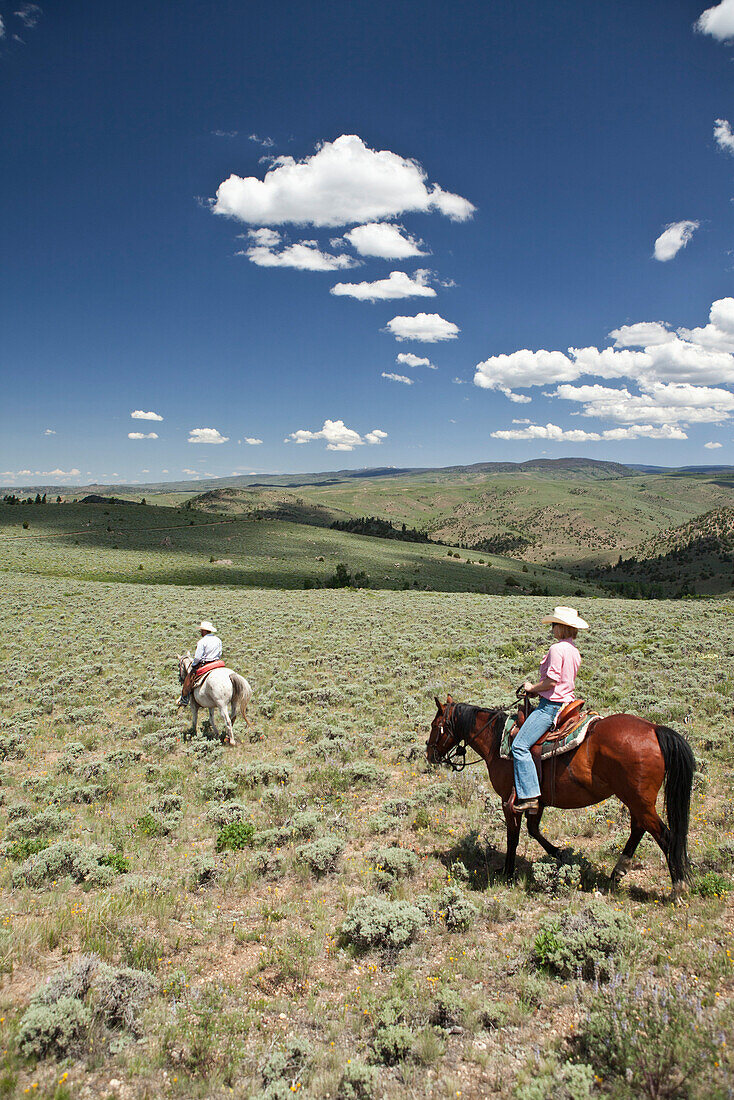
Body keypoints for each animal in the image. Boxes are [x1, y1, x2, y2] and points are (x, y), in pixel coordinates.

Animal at [424, 699, 695, 897]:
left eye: (434, 725)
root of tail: (654, 729)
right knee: (639, 828)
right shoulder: (538, 801)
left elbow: (513, 837)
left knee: (666, 836)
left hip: (639, 800)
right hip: (636, 800)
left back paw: (677, 888)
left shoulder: (508, 803)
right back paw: (619, 870)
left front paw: (507, 872)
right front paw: (561, 854)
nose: (429, 754)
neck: (496, 740)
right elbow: (534, 831)